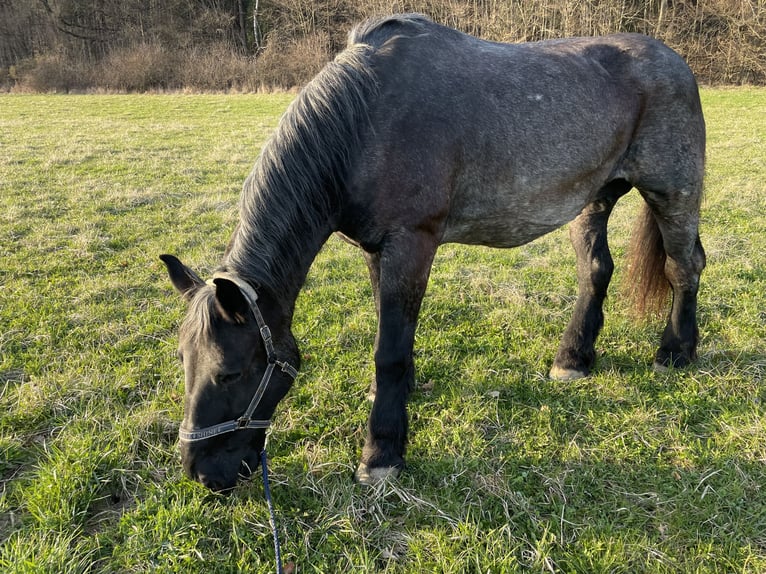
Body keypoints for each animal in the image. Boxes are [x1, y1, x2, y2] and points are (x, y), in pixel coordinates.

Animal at [160, 14, 708, 490]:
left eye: (231, 372)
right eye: (184, 361)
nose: (202, 472)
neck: (365, 121)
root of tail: (675, 61)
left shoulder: (412, 243)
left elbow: (389, 349)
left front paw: (380, 453)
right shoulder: (376, 249)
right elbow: (390, 336)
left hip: (672, 194)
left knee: (684, 266)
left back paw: (674, 352)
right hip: (595, 196)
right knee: (596, 269)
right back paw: (574, 358)